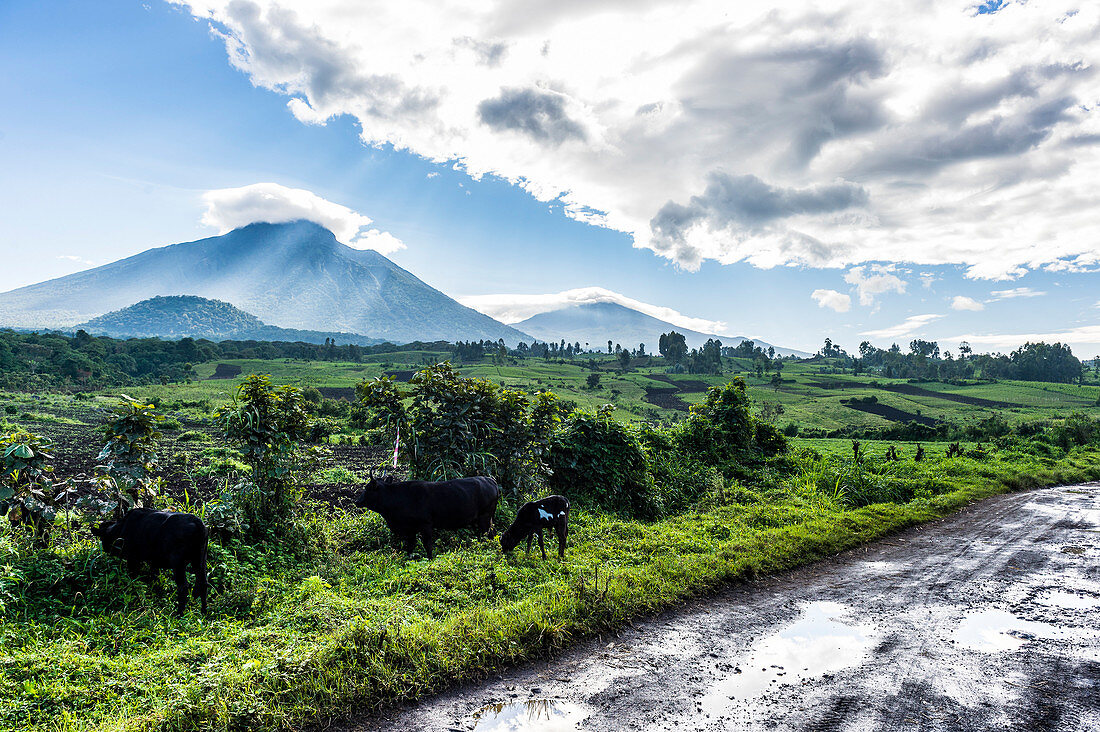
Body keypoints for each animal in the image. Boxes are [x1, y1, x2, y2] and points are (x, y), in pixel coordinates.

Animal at [354, 471, 501, 556]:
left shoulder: (426, 525)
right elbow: (410, 546)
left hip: (485, 518)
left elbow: (428, 545)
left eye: (368, 488)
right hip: (485, 520)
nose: (357, 501)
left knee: (489, 535)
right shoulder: (410, 529)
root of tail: (489, 480)